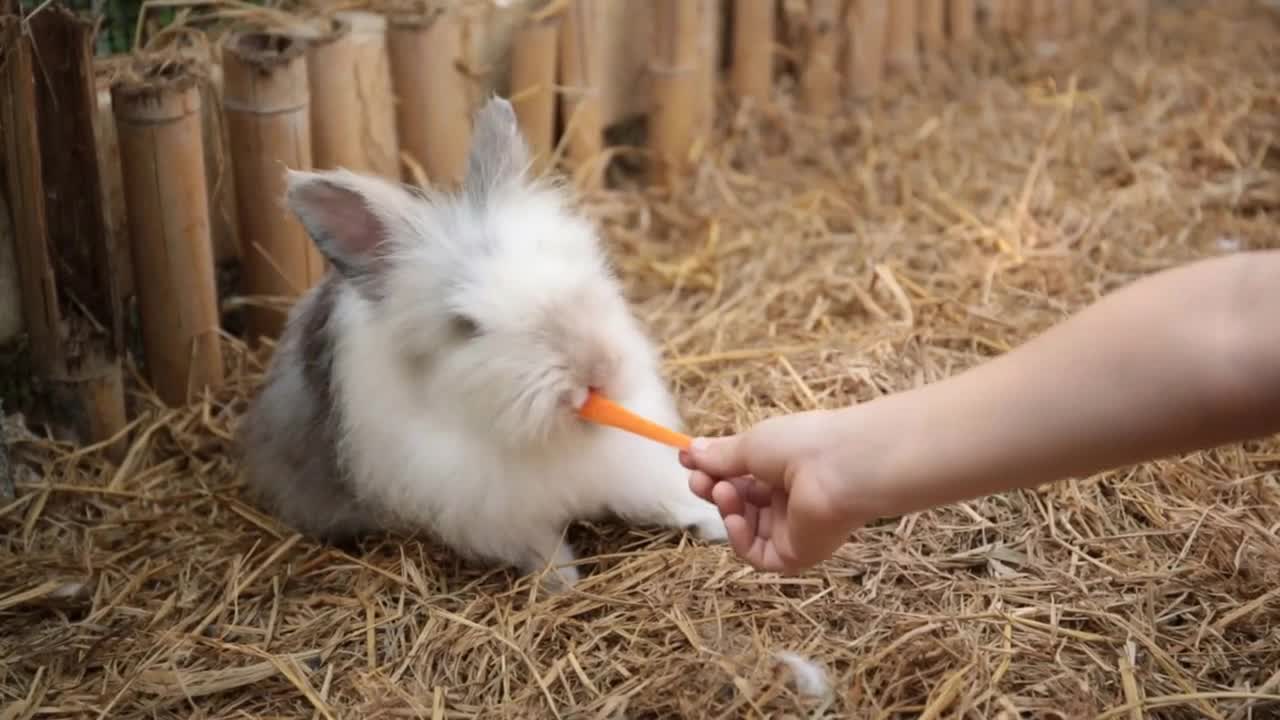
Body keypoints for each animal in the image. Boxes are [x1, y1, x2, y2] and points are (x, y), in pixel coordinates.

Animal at [235, 95, 727, 589]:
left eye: (579, 266)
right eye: (467, 326)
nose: (597, 370)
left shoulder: (627, 463)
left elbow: (660, 494)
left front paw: (715, 520)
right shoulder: (490, 512)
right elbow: (541, 546)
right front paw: (564, 582)